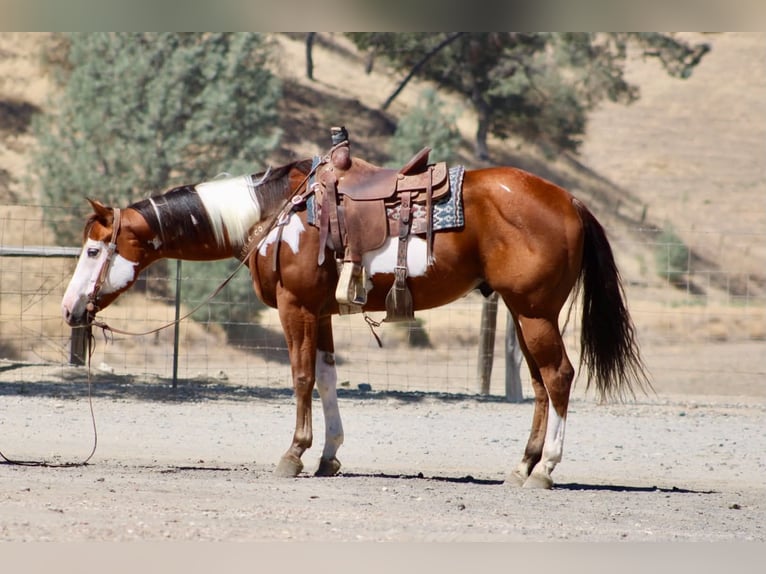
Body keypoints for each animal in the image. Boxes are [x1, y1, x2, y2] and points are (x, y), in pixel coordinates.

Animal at [61, 153, 649, 489]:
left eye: (92, 250)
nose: (70, 310)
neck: (278, 216)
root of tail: (569, 199)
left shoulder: (296, 307)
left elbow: (300, 377)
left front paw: (293, 455)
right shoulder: (319, 312)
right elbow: (326, 378)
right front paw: (328, 456)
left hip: (533, 311)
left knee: (558, 377)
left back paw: (546, 470)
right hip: (523, 312)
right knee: (540, 384)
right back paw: (523, 466)